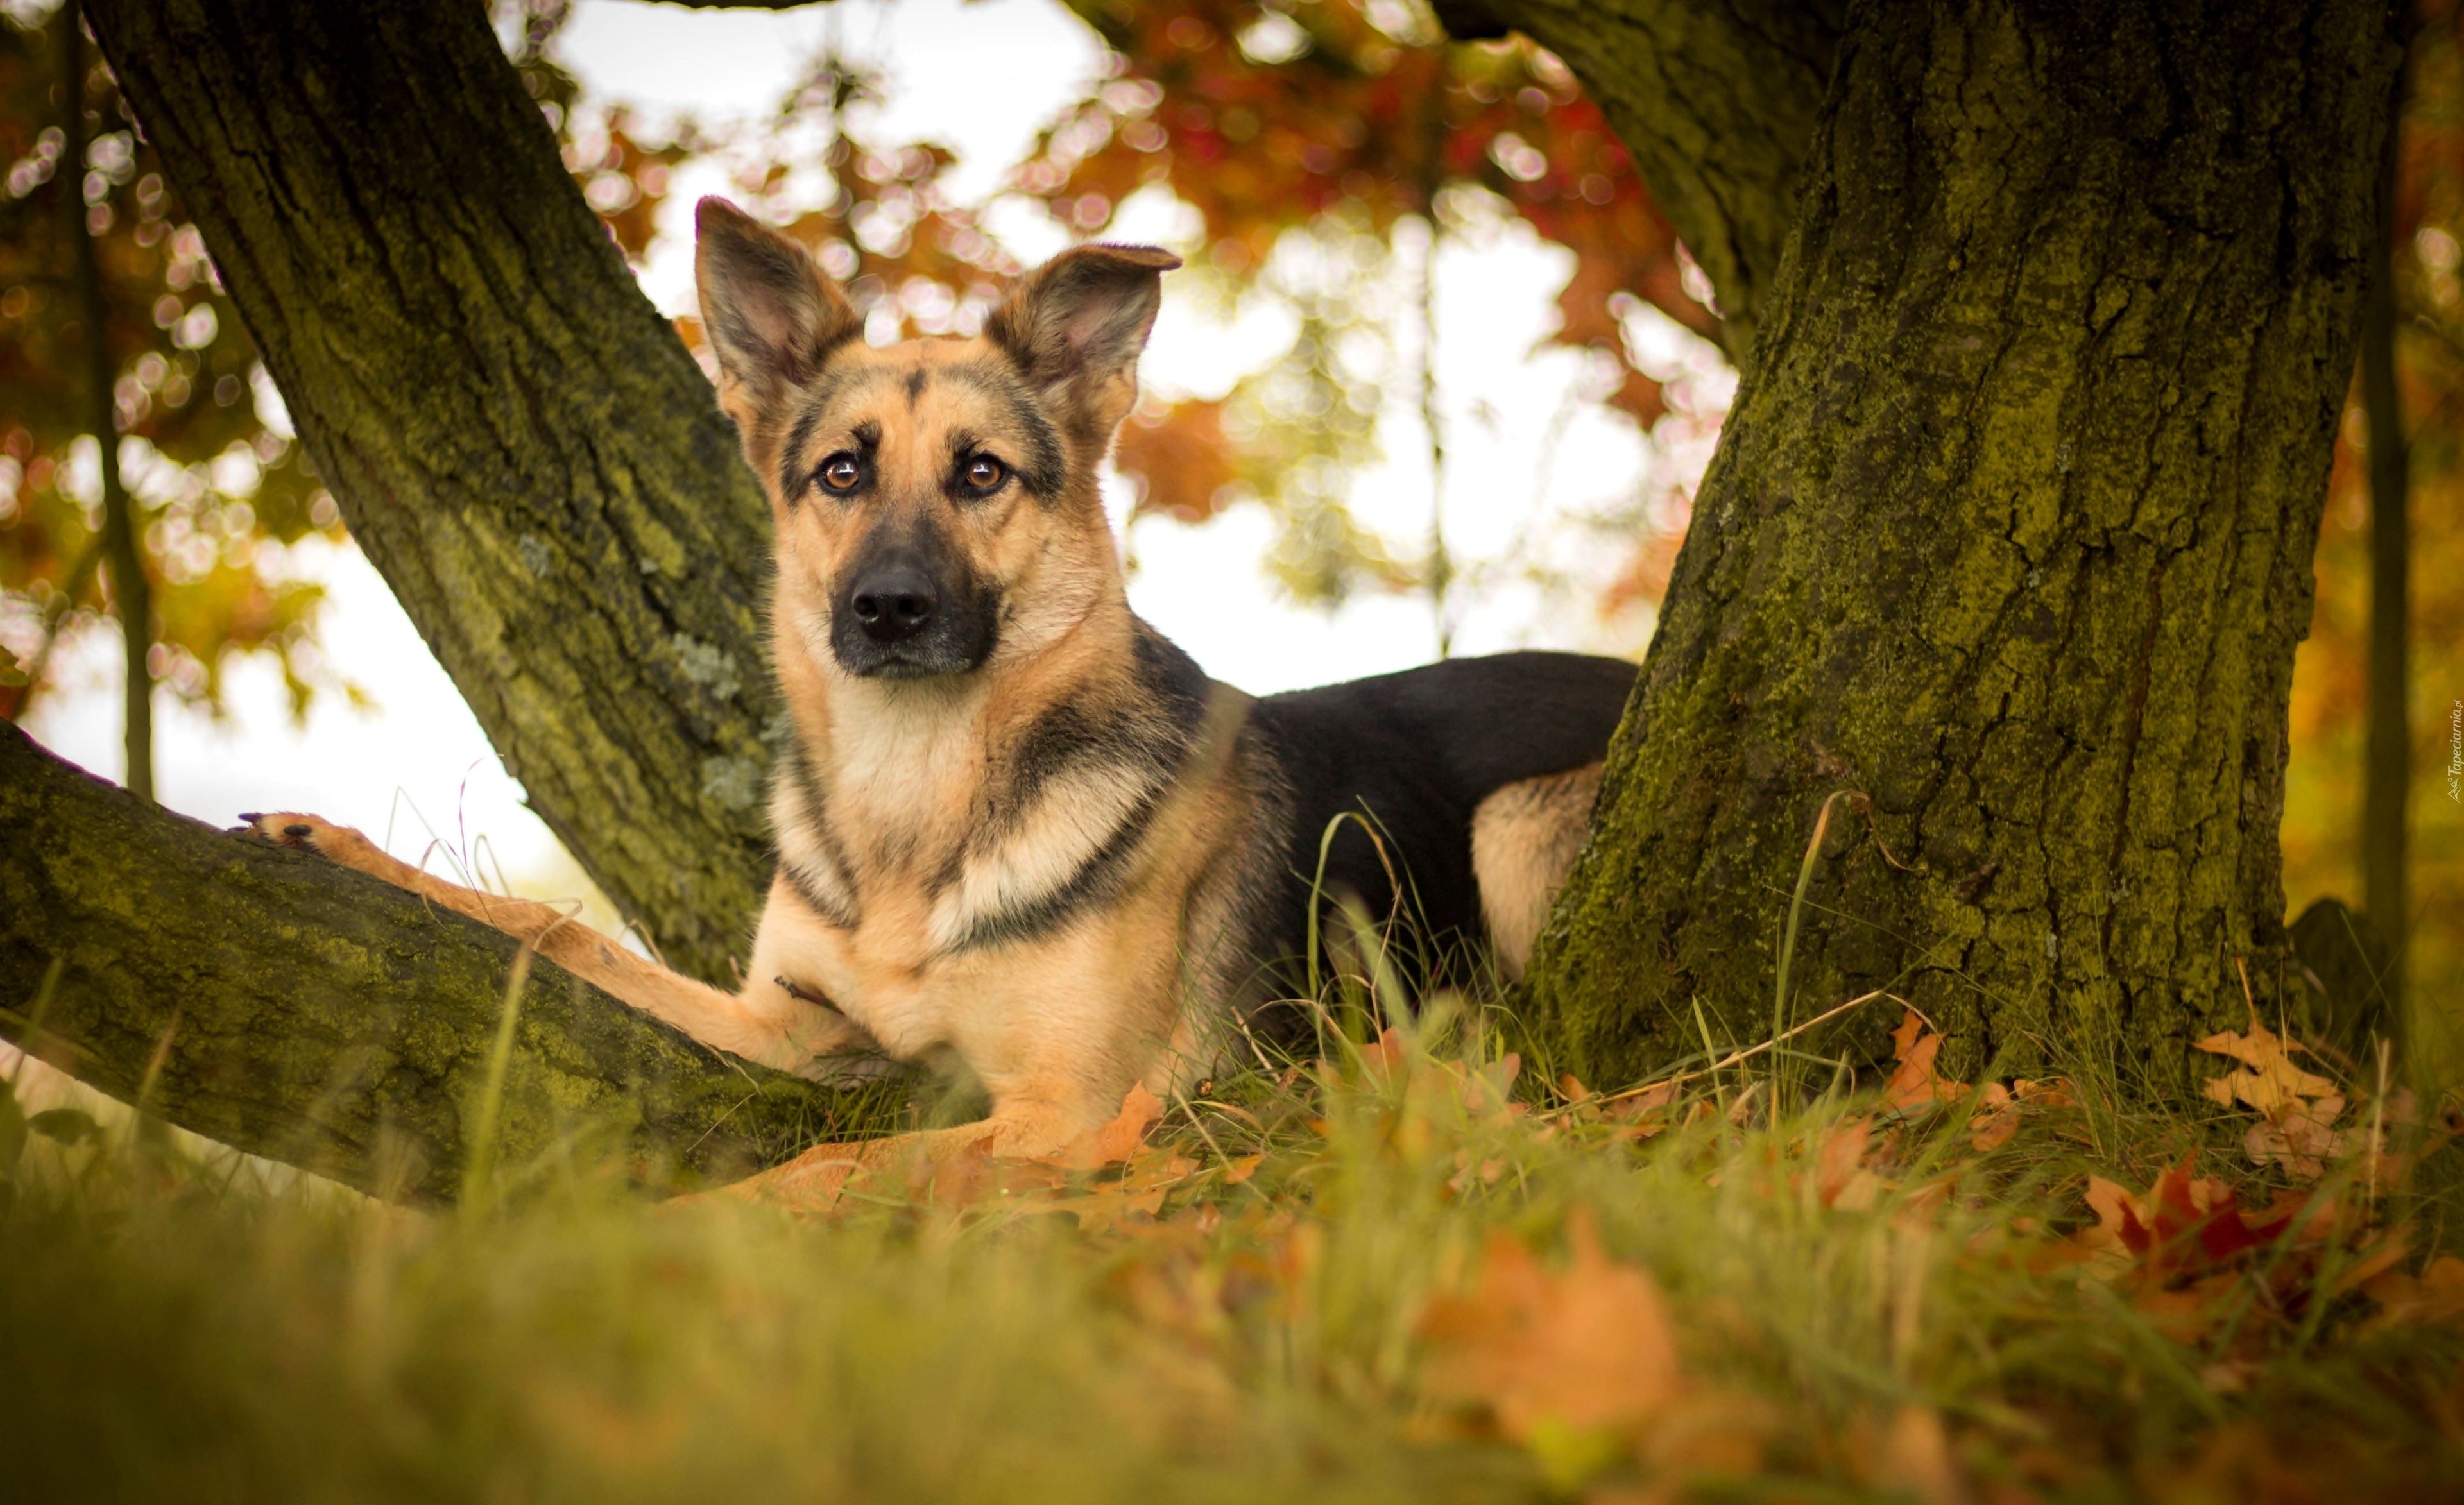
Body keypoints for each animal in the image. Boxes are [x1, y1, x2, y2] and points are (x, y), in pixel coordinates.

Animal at [255, 197, 1636, 1187]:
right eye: (840, 472)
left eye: (981, 474)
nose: (890, 610)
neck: (914, 804)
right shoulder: (786, 1027)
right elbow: (562, 933)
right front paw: (331, 846)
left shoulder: (1070, 1112)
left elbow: (834, 1165)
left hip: (1515, 828)